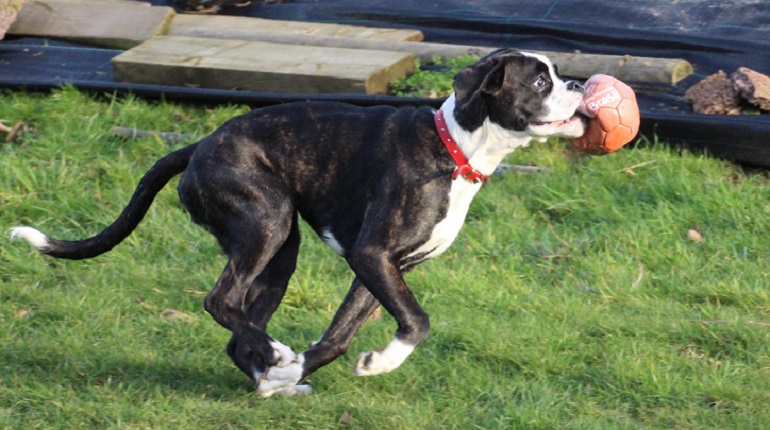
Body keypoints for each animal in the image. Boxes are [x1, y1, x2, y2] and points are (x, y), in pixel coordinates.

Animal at [10, 47, 584, 396]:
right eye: (540, 80)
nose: (579, 83)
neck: (456, 145)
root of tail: (199, 146)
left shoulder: (381, 270)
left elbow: (337, 339)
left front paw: (308, 372)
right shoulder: (373, 257)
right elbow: (418, 321)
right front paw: (378, 363)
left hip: (280, 253)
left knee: (237, 327)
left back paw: (272, 377)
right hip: (266, 224)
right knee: (220, 302)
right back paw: (273, 354)